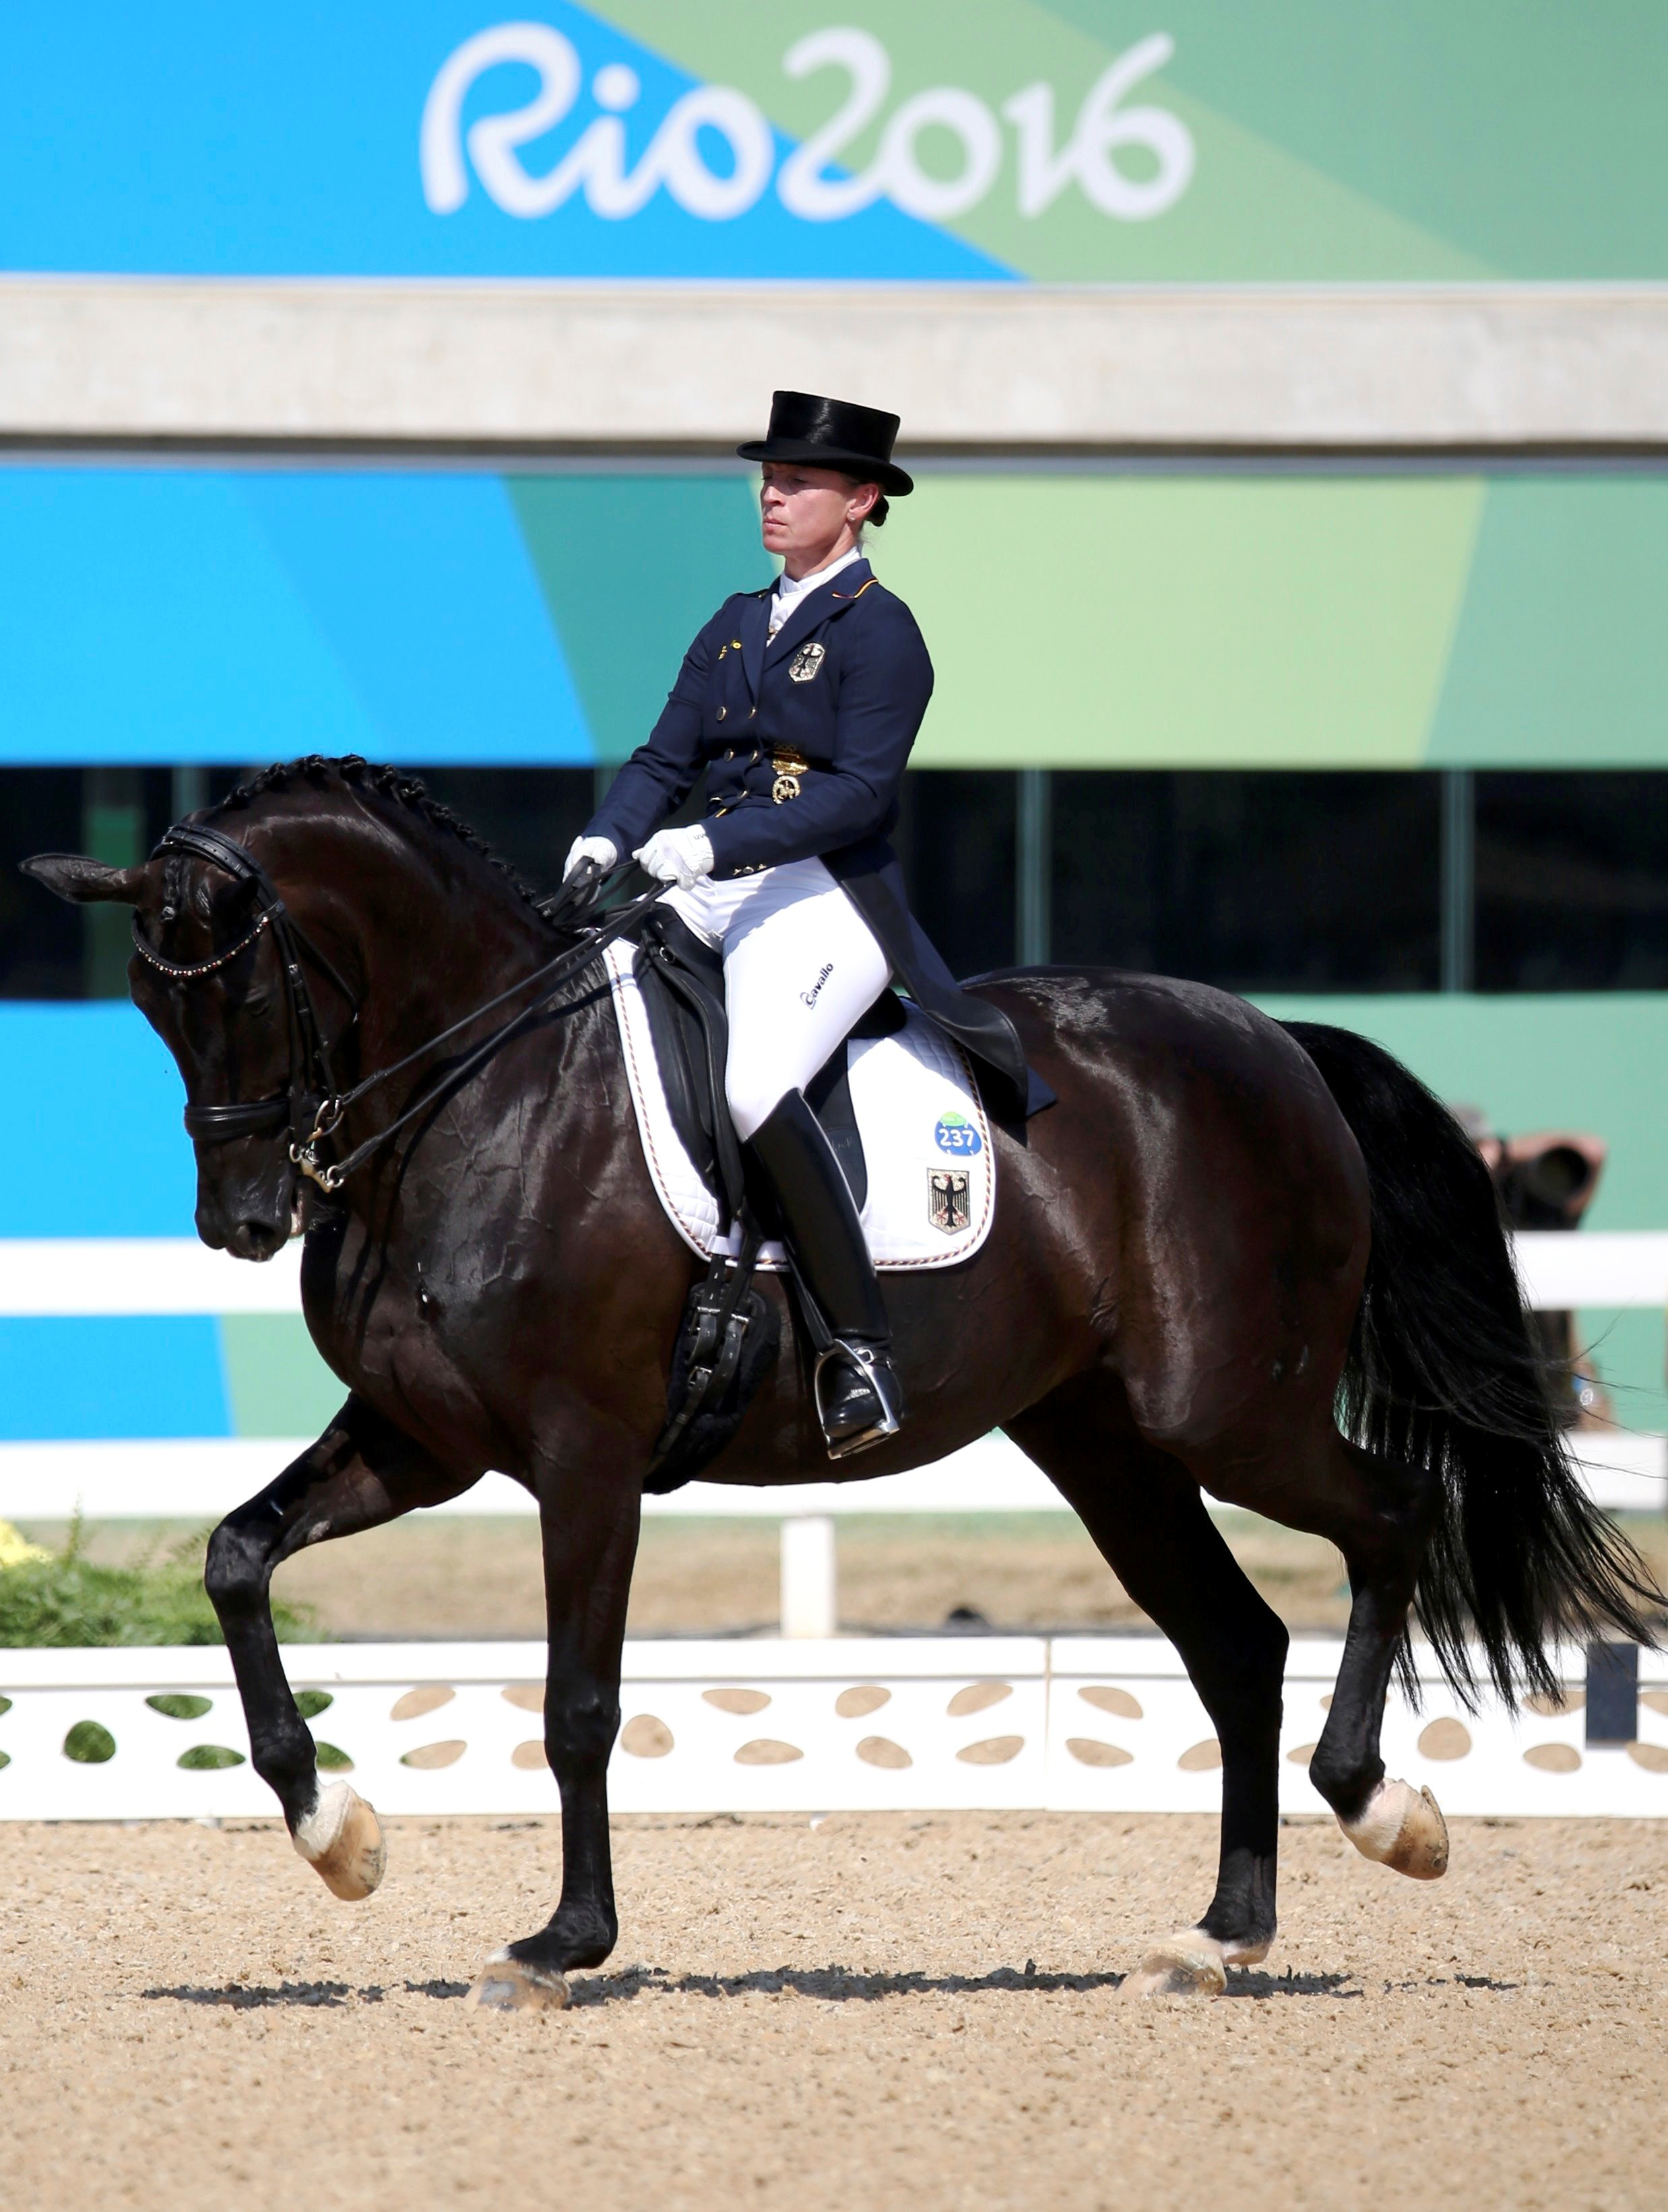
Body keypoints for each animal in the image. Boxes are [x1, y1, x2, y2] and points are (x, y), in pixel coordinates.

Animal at [22, 756, 1655, 2008]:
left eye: (244, 991)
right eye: (152, 1005)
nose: (243, 1220)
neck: (485, 1092)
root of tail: (1273, 1040)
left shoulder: (583, 1453)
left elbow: (578, 1703)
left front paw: (559, 1946)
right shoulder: (422, 1440)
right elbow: (237, 1558)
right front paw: (338, 1830)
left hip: (1229, 1409)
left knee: (1391, 1518)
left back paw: (1387, 1810)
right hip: (1105, 1443)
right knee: (1237, 1641)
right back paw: (1215, 1938)